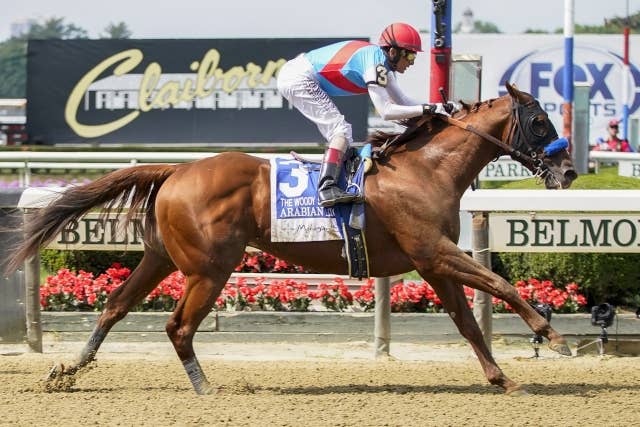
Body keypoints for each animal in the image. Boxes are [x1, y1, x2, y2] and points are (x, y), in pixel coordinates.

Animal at [6, 82, 577, 395]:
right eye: (539, 120)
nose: (569, 171)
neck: (426, 169)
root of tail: (176, 170)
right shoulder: (433, 251)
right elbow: (500, 285)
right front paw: (553, 336)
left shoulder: (434, 262)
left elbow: (467, 322)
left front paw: (504, 379)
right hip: (210, 268)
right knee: (177, 326)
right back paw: (206, 388)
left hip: (162, 257)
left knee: (115, 305)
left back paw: (69, 368)